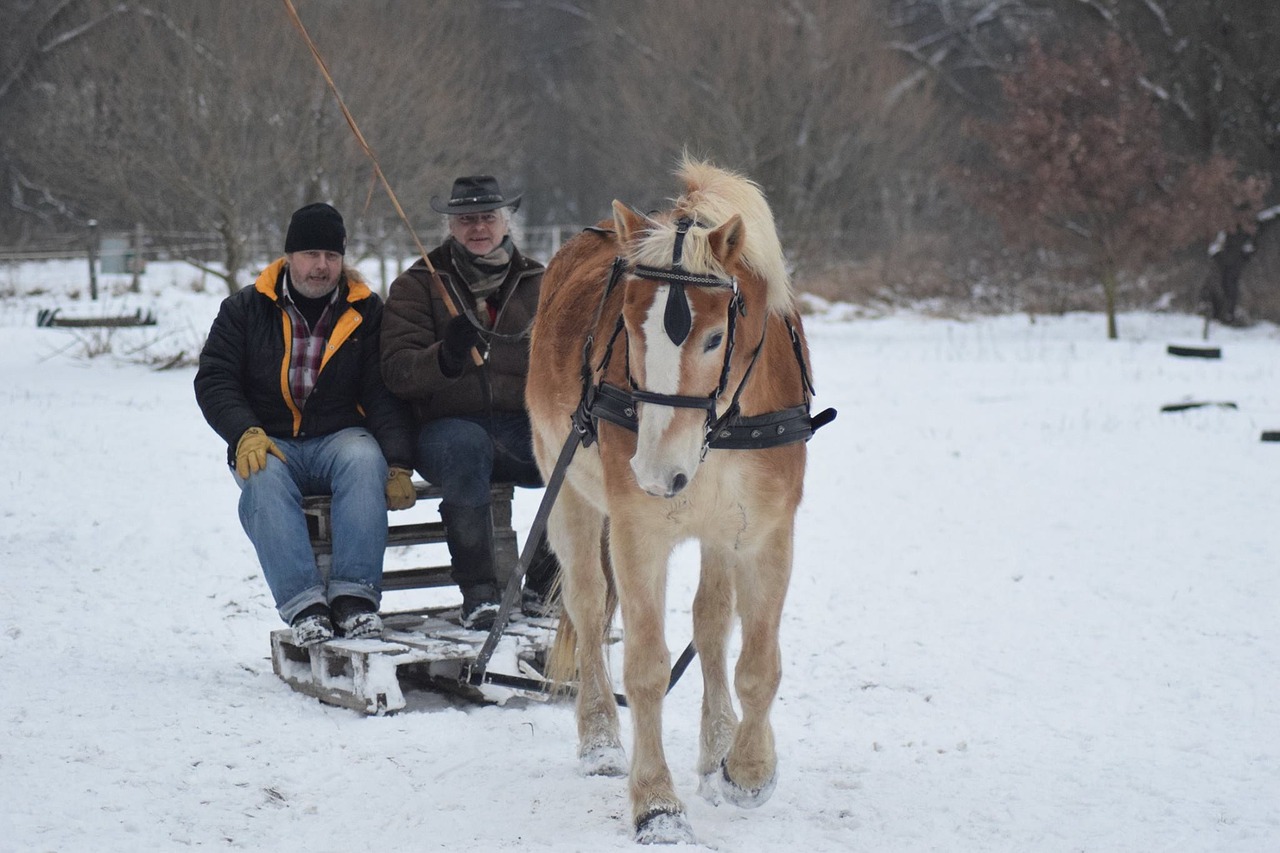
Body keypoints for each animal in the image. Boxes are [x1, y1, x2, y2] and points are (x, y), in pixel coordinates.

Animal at [524, 156, 834, 840]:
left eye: (716, 338)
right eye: (628, 328)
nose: (657, 473)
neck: (718, 429)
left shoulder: (766, 532)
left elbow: (758, 662)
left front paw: (746, 768)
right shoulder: (639, 531)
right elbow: (645, 666)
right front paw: (657, 804)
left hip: (719, 529)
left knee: (712, 623)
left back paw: (717, 745)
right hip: (569, 491)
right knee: (589, 608)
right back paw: (600, 740)